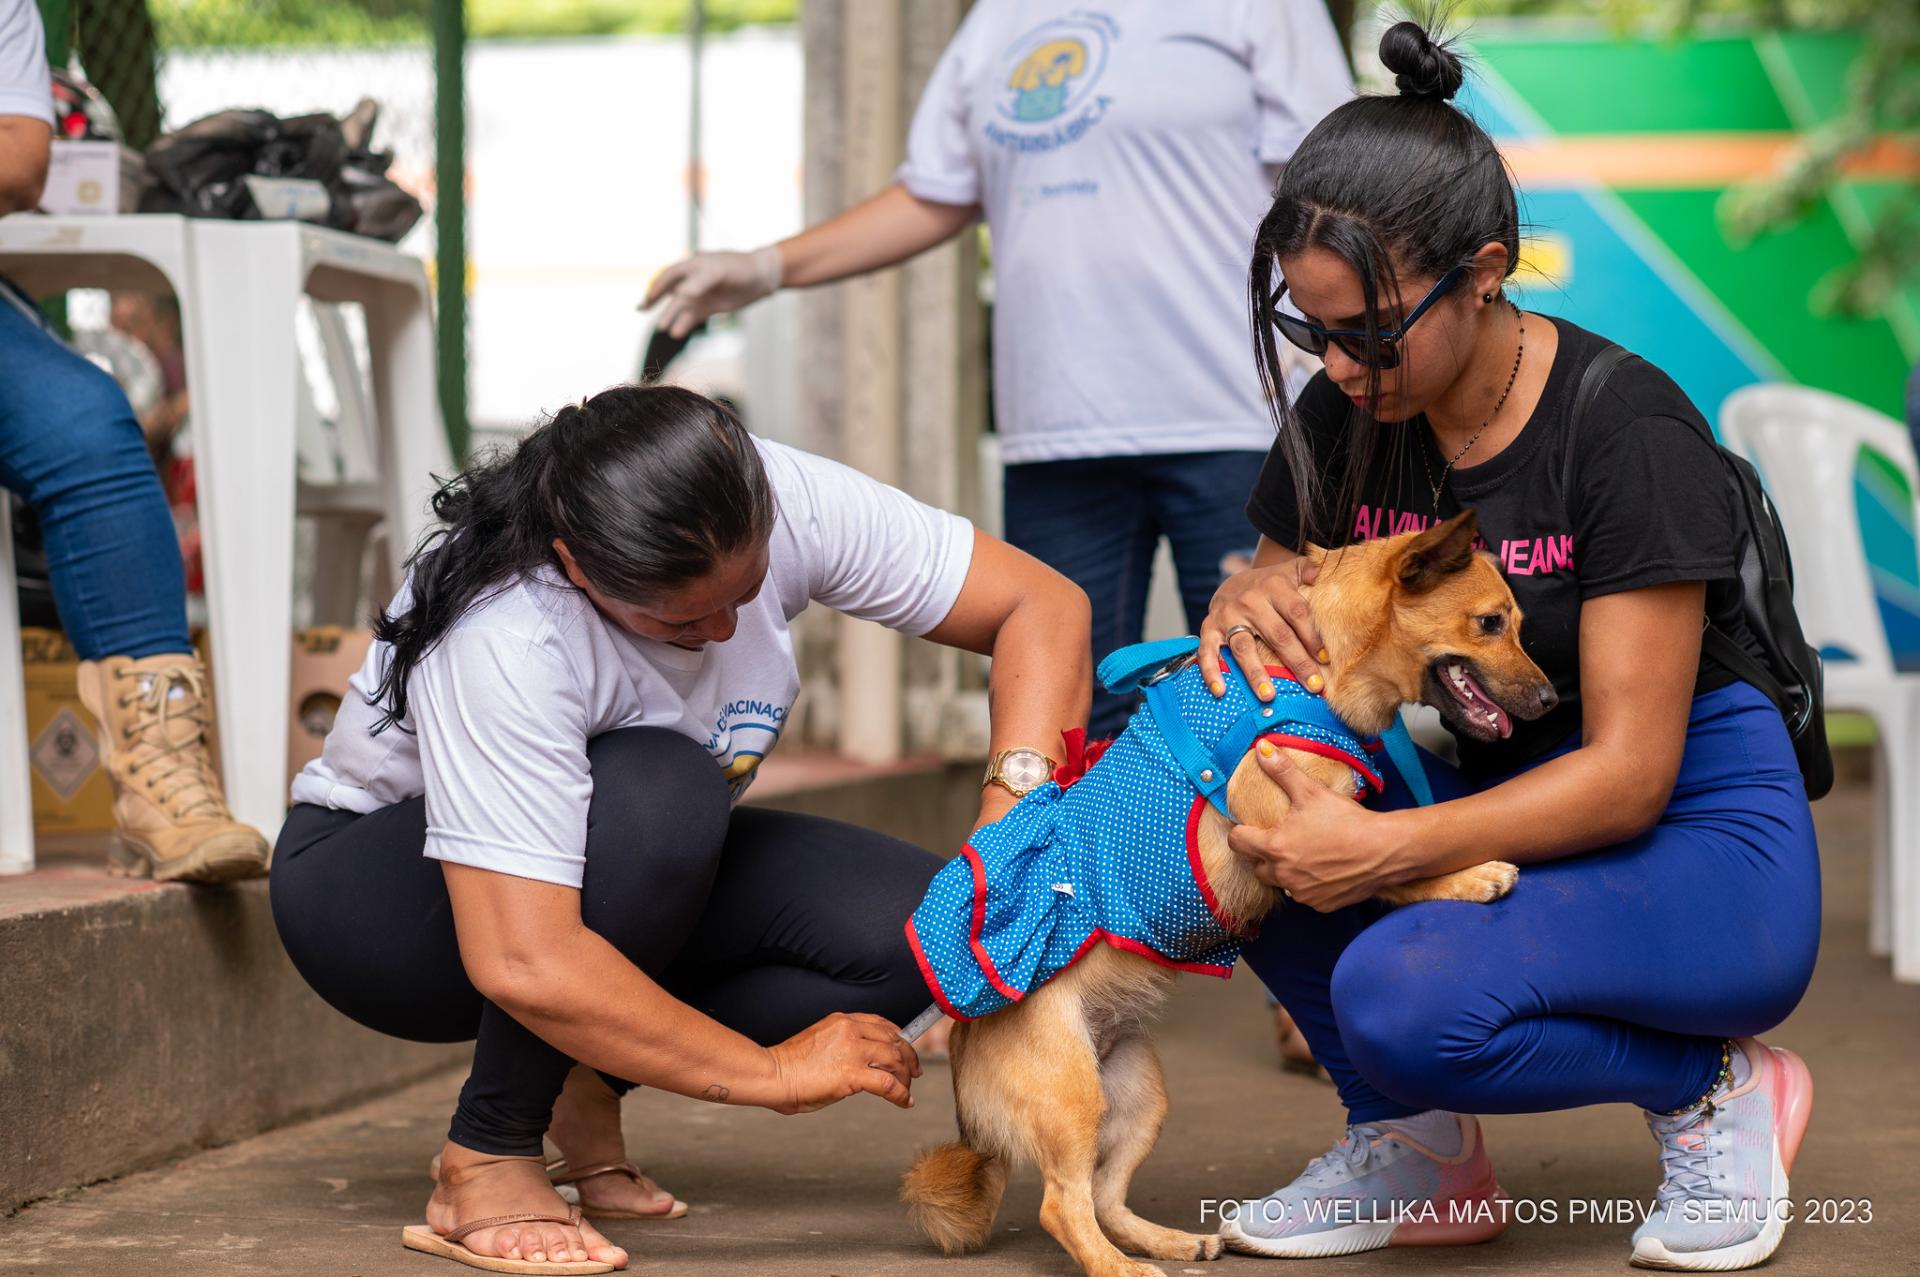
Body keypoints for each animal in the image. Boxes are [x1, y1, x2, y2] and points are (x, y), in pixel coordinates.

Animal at [902, 510, 1559, 1275]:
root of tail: (962, 1047)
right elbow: (1395, 861)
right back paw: (1120, 1266)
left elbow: (1397, 842)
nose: (1550, 700)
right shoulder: (1302, 836)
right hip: (1072, 1099)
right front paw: (1470, 876)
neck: (1312, 670)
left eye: (1517, 624)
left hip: (1137, 1094)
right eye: (1490, 623)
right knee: (1062, 1204)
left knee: (1103, 1195)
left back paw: (1168, 1241)